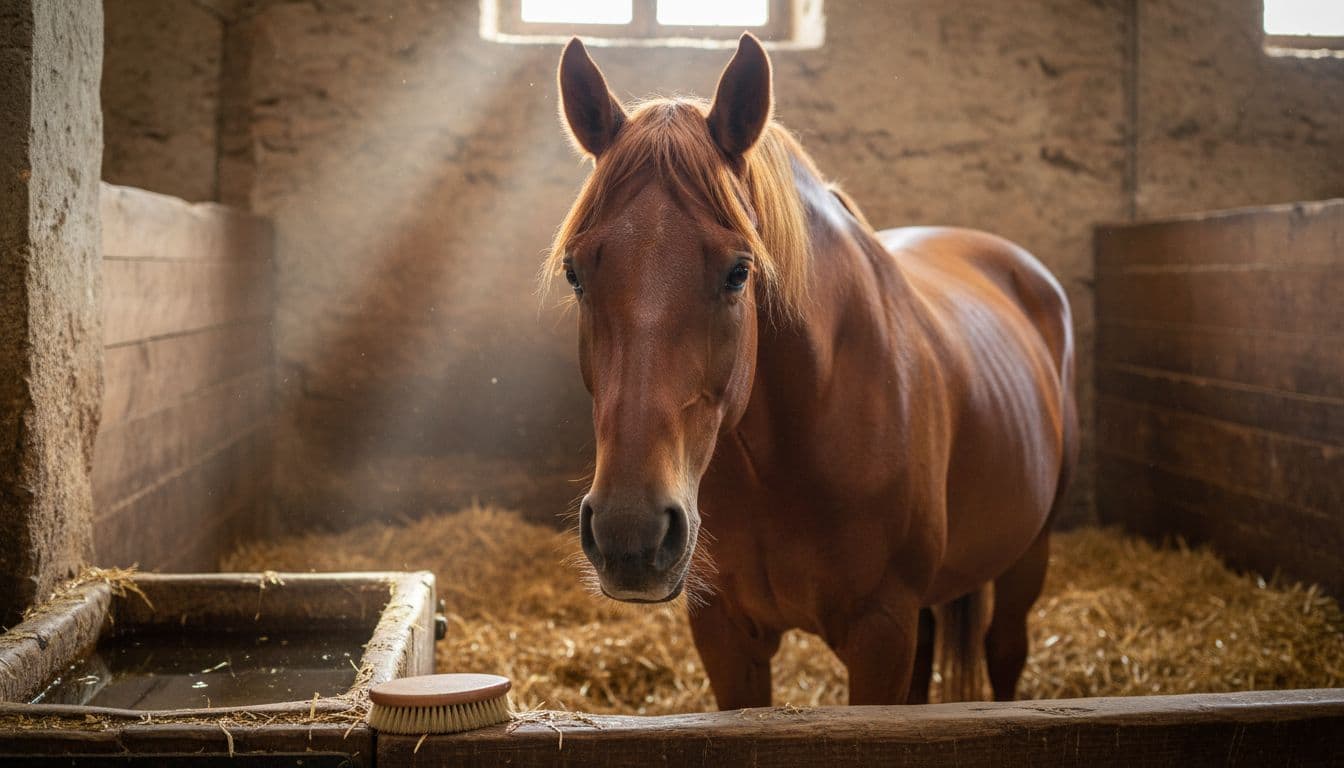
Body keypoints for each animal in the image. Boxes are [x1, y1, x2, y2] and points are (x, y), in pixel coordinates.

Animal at [548, 33, 1078, 708]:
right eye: (575, 272)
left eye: (739, 271)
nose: (629, 533)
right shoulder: (725, 633)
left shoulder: (881, 633)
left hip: (1028, 554)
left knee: (1006, 651)